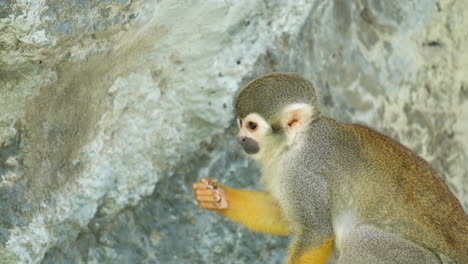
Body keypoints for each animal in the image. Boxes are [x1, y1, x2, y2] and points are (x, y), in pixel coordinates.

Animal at [191, 72, 468, 264]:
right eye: (240, 123)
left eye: (251, 126)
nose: (240, 138)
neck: (296, 142)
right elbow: (286, 218)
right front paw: (219, 197)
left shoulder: (301, 169)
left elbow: (315, 232)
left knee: (362, 240)